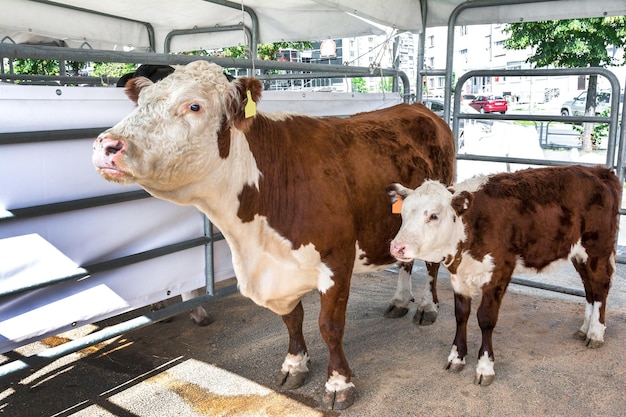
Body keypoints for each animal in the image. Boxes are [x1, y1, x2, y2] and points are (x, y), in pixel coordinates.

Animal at [91, 60, 454, 408]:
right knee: (406, 259)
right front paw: (295, 365)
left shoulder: (337, 259)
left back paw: (426, 307)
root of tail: (416, 106)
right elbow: (292, 319)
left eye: (194, 106)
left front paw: (338, 384)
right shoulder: (278, 267)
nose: (107, 144)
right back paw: (399, 300)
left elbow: (330, 326)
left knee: (432, 266)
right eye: (142, 102)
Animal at [388, 164, 616, 386]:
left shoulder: (499, 272)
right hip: (579, 254)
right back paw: (585, 327)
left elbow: (486, 318)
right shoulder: (459, 276)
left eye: (434, 215)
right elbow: (461, 314)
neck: (470, 226)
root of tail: (598, 170)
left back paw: (595, 333)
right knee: (589, 287)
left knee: (600, 287)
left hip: (597, 248)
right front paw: (456, 357)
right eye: (404, 213)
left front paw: (484, 367)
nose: (397, 247)